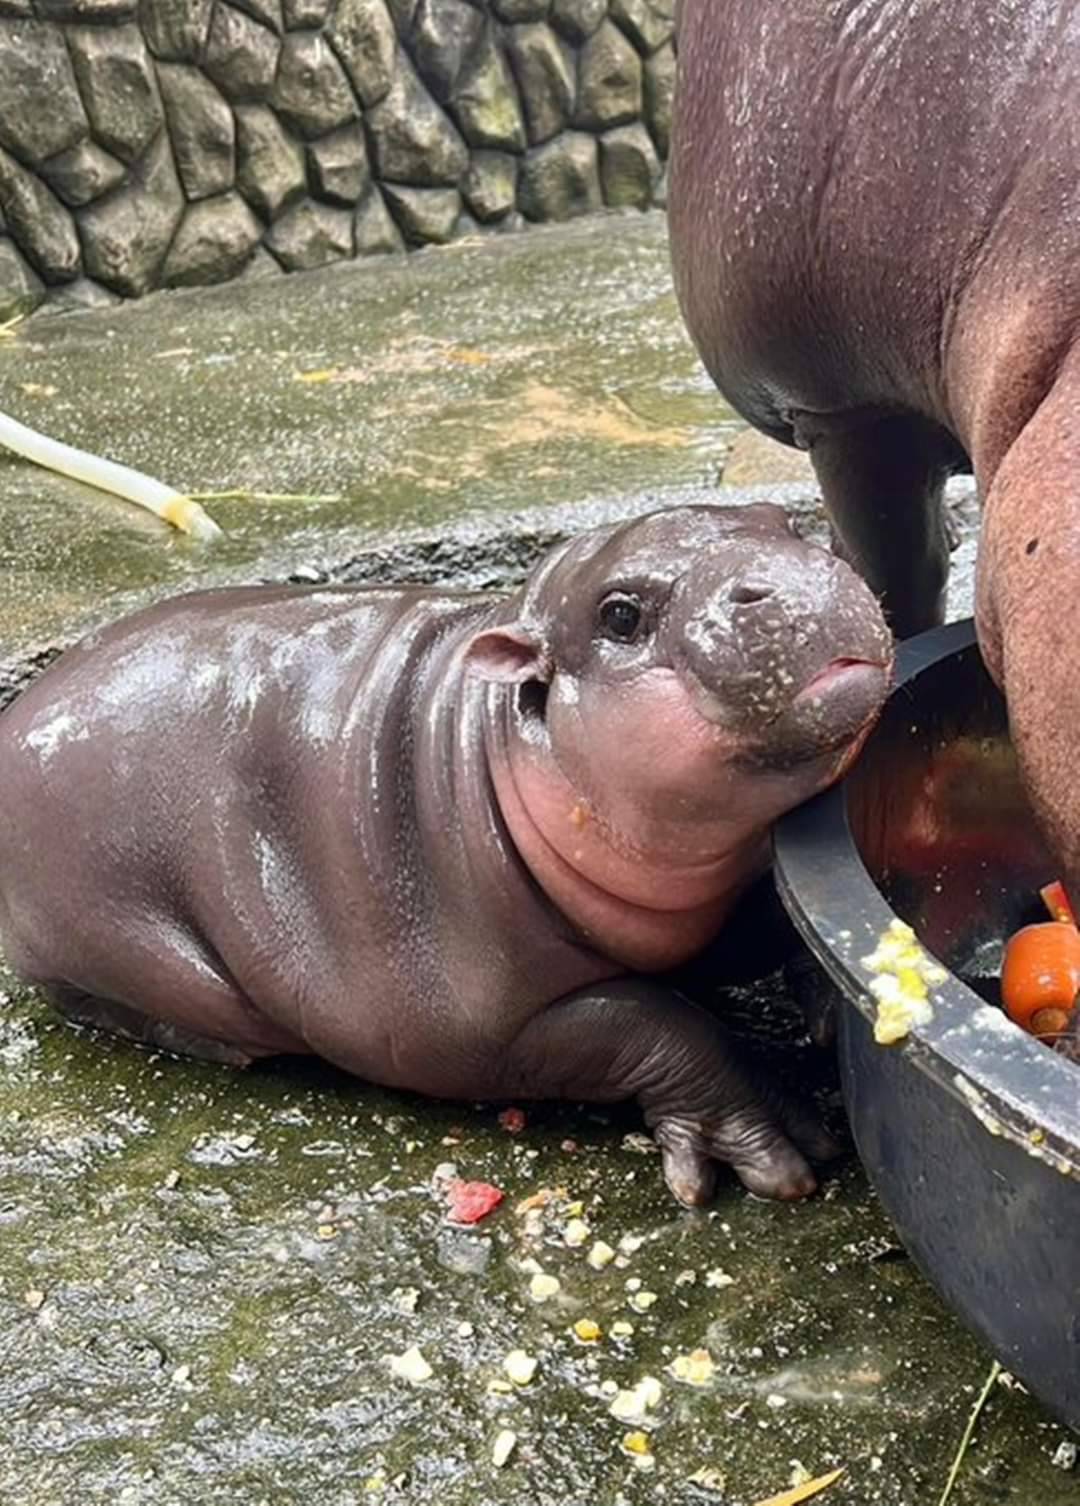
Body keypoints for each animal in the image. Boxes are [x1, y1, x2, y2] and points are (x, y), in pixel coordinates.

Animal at [0, 512, 891, 1204]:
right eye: (620, 614)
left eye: (784, 522)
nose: (786, 573)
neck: (490, 744)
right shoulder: (477, 1027)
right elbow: (649, 1023)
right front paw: (777, 1145)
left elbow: (769, 923)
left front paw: (821, 1006)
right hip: (112, 936)